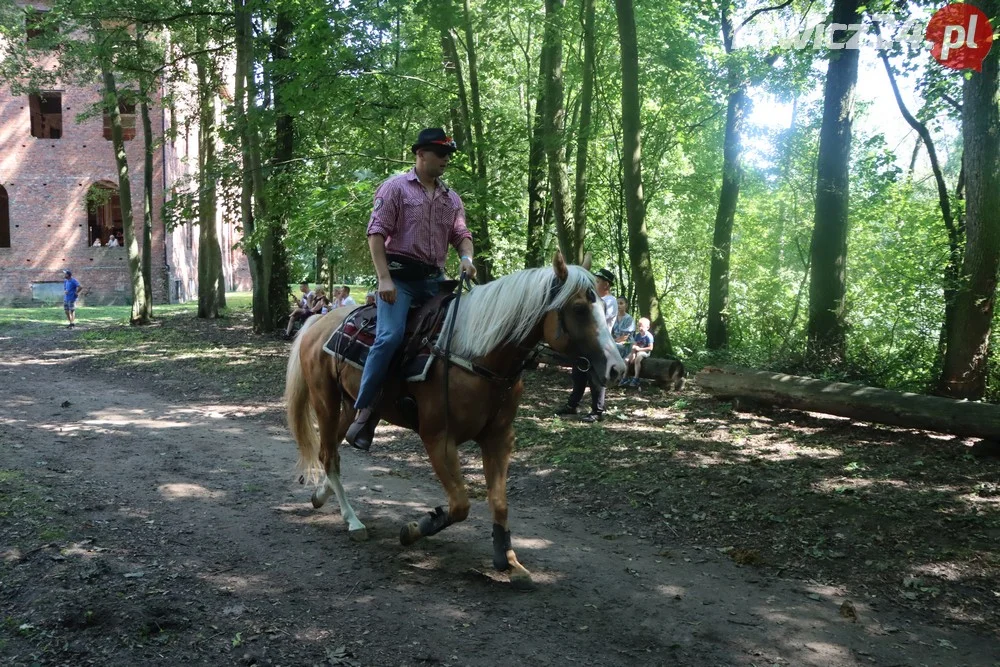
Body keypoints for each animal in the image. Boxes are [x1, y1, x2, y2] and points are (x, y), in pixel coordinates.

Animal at [284, 250, 624, 584]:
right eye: (579, 308)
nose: (617, 369)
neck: (477, 355)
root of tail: (319, 320)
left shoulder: (499, 438)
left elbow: (499, 502)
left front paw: (509, 560)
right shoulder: (438, 439)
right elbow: (460, 504)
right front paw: (416, 528)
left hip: (351, 404)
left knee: (331, 451)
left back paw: (322, 494)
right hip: (325, 401)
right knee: (330, 456)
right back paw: (353, 521)